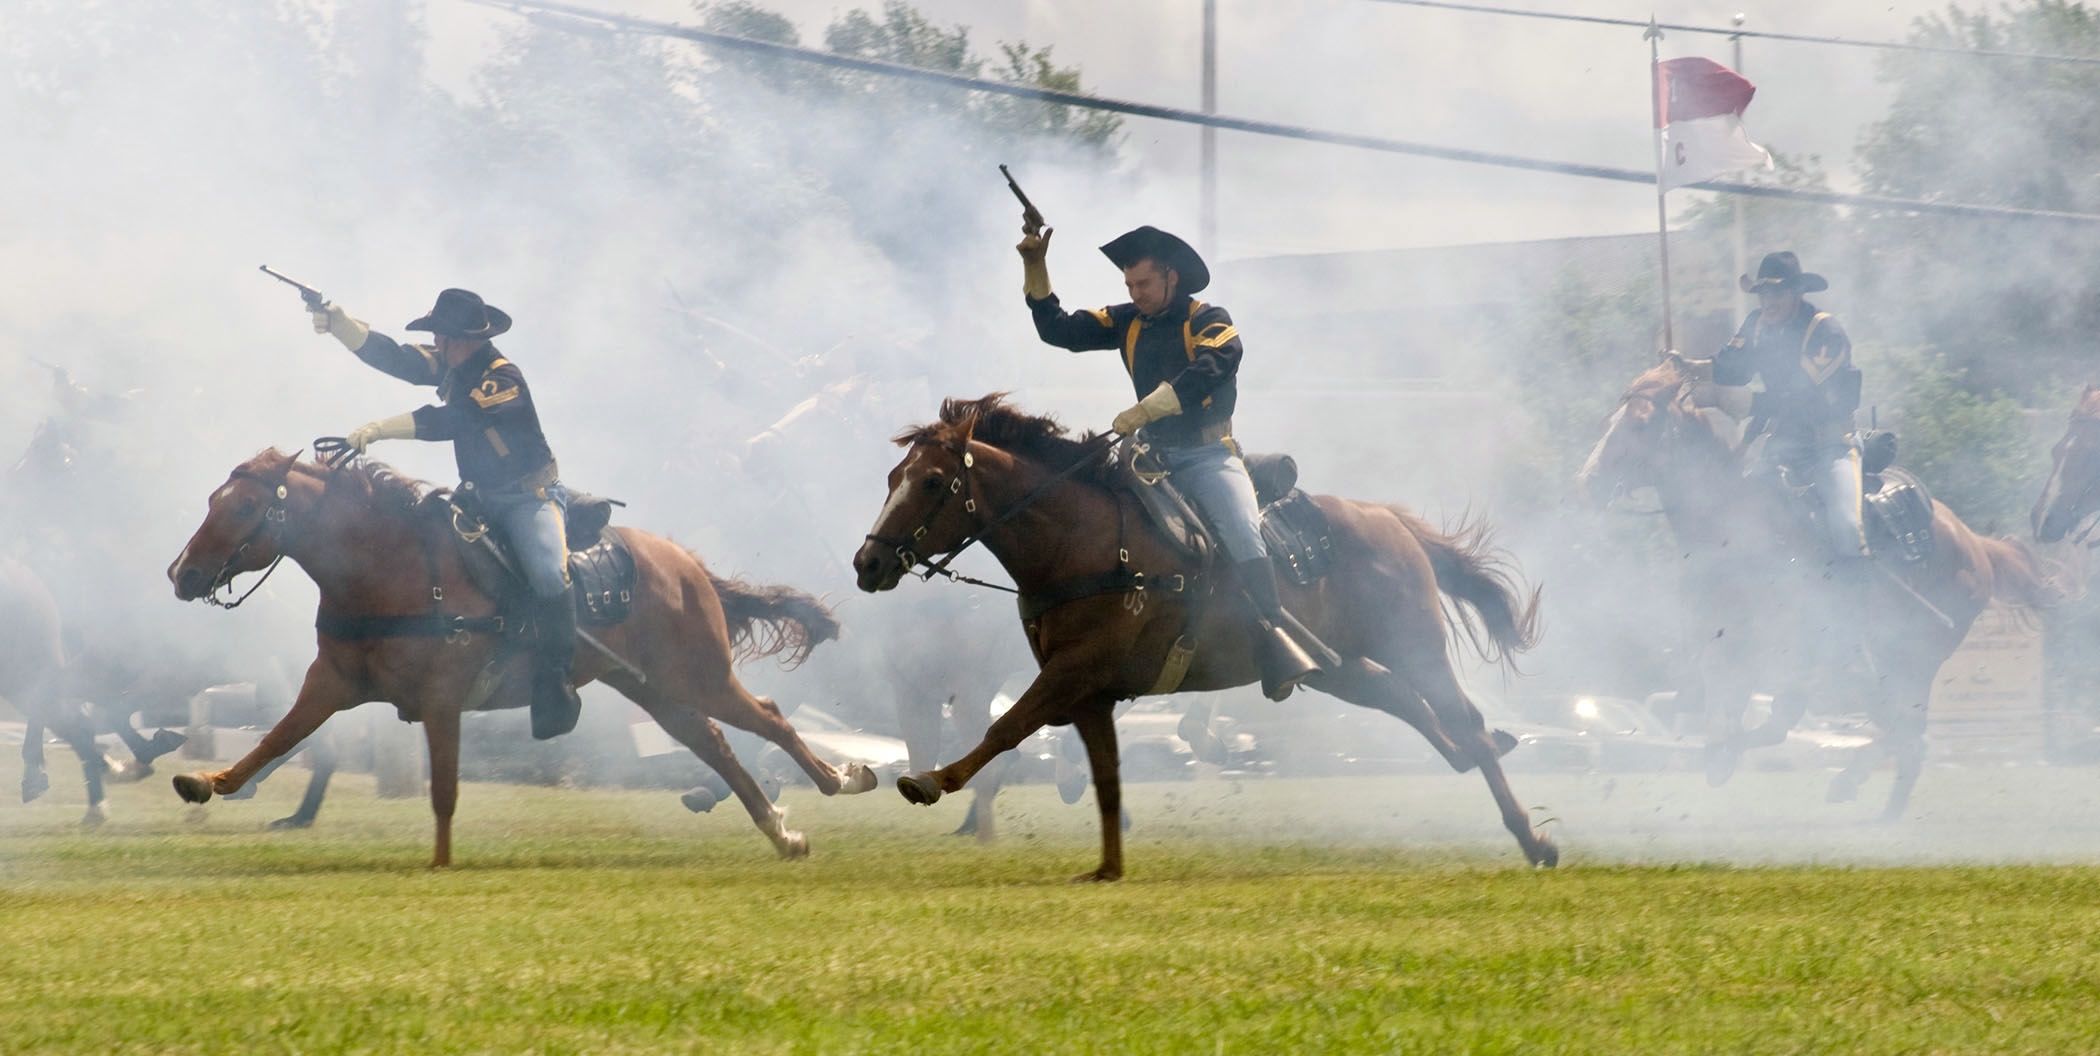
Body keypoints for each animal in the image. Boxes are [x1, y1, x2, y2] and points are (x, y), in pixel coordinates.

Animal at [165, 451, 877, 873]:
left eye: (247, 506)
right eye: (210, 501)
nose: (183, 573)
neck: (390, 565)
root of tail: (685, 564)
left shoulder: (442, 701)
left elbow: (444, 790)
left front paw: (441, 863)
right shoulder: (330, 684)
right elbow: (275, 741)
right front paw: (205, 782)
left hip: (699, 675)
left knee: (770, 719)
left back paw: (841, 782)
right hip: (654, 689)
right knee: (717, 747)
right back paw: (782, 834)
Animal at [1579, 356, 2058, 818]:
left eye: (1641, 424)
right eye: (1606, 422)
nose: (1587, 483)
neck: (1738, 525)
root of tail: (1976, 544)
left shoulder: (1798, 652)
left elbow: (1775, 718)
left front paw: (1723, 756)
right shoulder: (1722, 643)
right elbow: (1726, 700)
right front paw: (1716, 755)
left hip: (1914, 658)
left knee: (1908, 729)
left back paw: (1858, 786)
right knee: (1904, 731)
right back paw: (1877, 799)